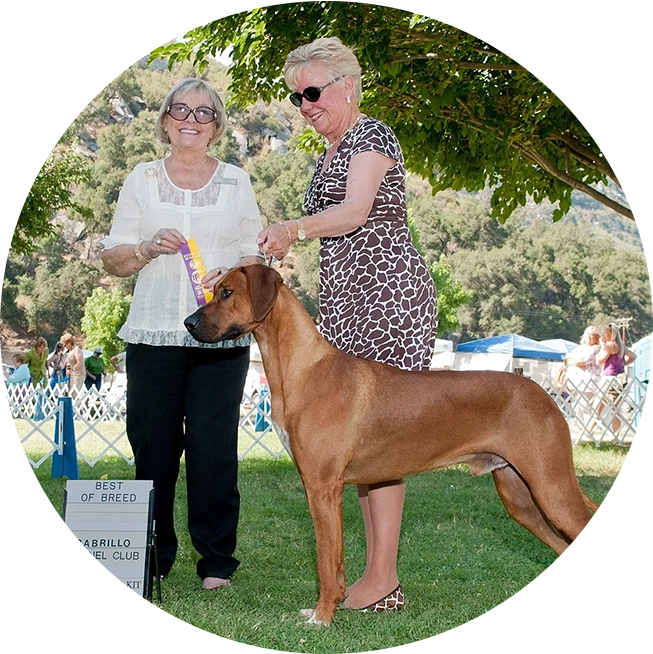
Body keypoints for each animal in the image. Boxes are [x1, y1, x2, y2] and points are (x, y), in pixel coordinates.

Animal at [183, 264, 600, 628]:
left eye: (226, 292)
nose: (188, 324)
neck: (304, 370)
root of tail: (543, 394)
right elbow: (334, 562)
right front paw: (328, 608)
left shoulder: (322, 488)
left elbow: (325, 561)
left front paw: (322, 617)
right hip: (519, 496)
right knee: (567, 548)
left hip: (552, 487)